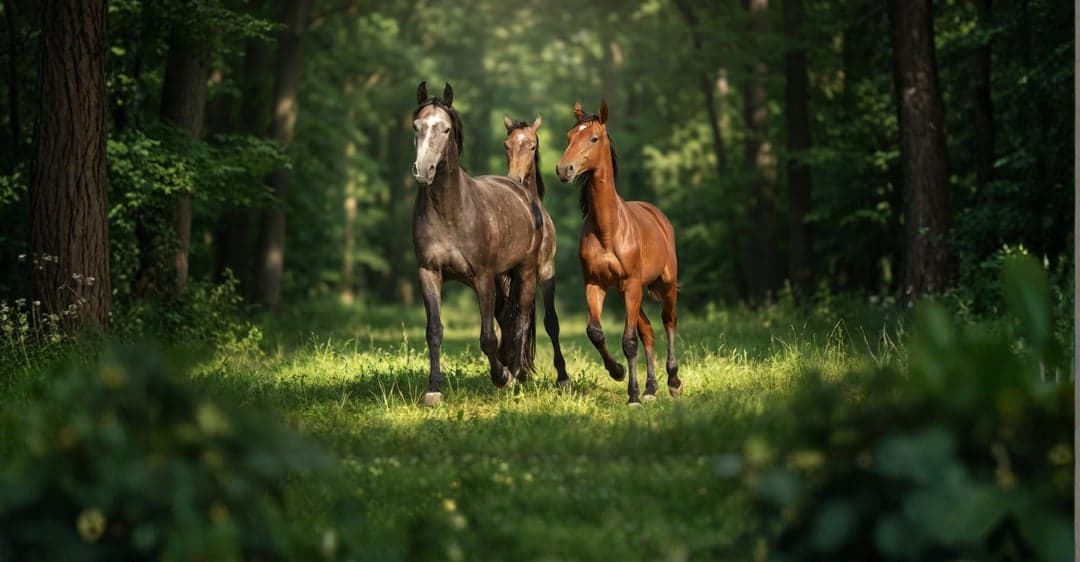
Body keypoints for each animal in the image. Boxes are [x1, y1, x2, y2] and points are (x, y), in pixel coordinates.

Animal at [411, 81, 544, 406]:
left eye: (446, 129)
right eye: (416, 126)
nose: (423, 170)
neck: (450, 213)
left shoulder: (482, 277)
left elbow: (487, 337)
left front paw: (501, 377)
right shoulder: (428, 273)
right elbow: (434, 331)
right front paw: (434, 389)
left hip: (525, 271)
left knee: (521, 319)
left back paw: (516, 374)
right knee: (508, 320)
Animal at [555, 100, 682, 405]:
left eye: (593, 138)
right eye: (569, 136)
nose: (564, 169)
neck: (608, 230)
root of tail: (657, 215)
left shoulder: (632, 285)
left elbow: (628, 340)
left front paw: (632, 396)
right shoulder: (595, 284)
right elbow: (595, 332)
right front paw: (618, 372)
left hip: (664, 284)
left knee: (668, 321)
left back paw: (673, 382)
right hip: (633, 293)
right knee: (648, 332)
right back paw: (651, 389)